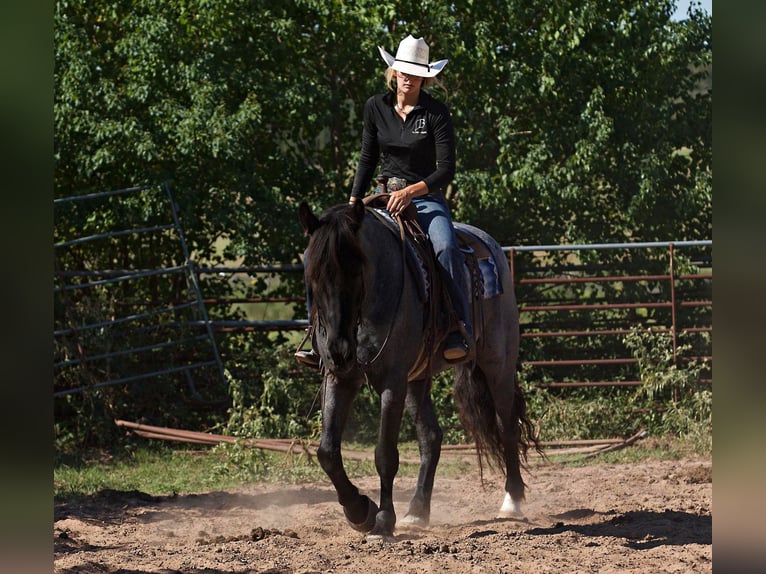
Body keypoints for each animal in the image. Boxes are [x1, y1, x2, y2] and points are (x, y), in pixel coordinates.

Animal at [300, 200, 540, 544]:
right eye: (313, 276)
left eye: (355, 271)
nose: (339, 349)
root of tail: (489, 244)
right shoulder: (339, 377)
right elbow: (328, 452)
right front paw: (360, 511)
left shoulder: (393, 381)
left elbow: (385, 455)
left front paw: (382, 521)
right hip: (416, 379)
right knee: (431, 437)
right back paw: (417, 510)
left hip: (498, 364)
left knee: (507, 427)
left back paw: (512, 501)